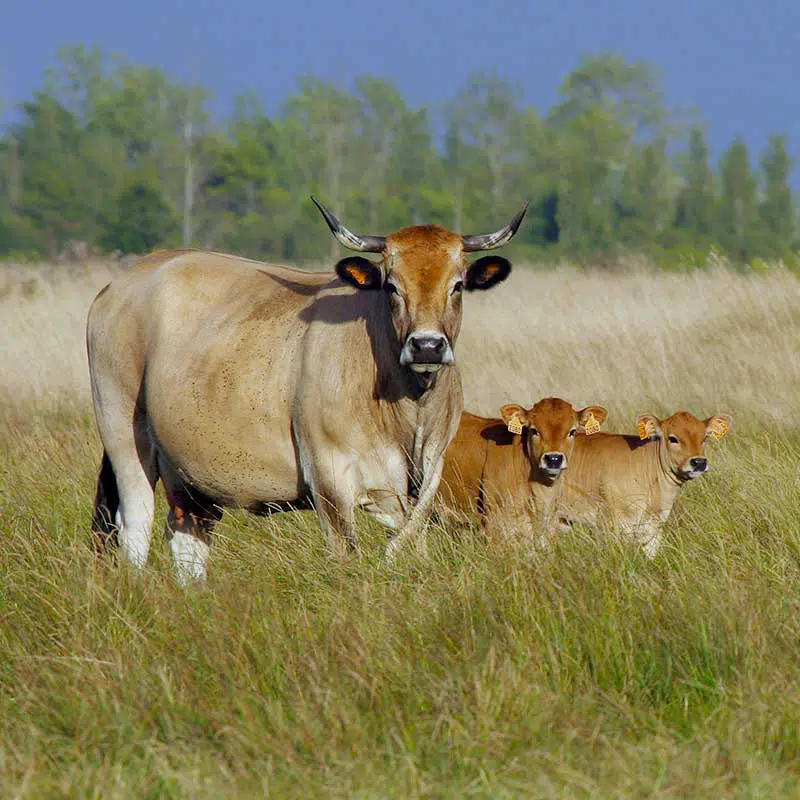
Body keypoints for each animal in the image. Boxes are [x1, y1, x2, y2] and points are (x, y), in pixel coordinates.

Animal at [87, 198, 527, 582]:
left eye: (457, 285)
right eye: (391, 286)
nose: (427, 346)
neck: (408, 413)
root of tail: (125, 281)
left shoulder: (428, 477)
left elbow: (408, 544)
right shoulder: (330, 478)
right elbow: (347, 555)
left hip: (190, 474)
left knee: (187, 537)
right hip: (124, 434)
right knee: (136, 526)